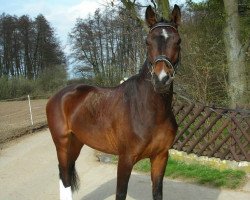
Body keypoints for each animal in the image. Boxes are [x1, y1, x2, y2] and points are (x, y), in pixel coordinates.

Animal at [46, 4, 181, 200]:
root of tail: (58, 95)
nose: (161, 80)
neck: (149, 110)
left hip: (76, 142)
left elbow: (157, 192)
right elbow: (120, 193)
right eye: (147, 42)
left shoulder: (161, 157)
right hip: (62, 143)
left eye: (178, 41)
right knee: (64, 178)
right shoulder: (125, 159)